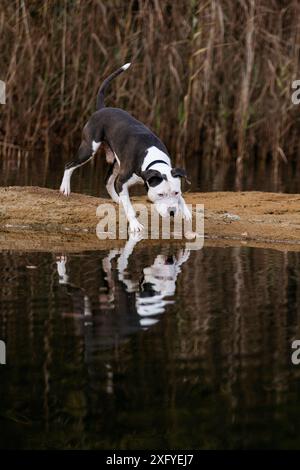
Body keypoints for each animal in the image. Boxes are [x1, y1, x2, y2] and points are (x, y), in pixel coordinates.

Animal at [60, 62, 192, 231]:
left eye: (176, 192)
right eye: (160, 194)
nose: (172, 212)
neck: (152, 161)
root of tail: (102, 109)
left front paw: (185, 211)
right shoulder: (122, 181)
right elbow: (129, 208)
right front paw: (135, 225)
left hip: (116, 162)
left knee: (107, 181)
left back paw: (118, 199)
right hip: (89, 149)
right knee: (69, 165)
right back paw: (65, 188)